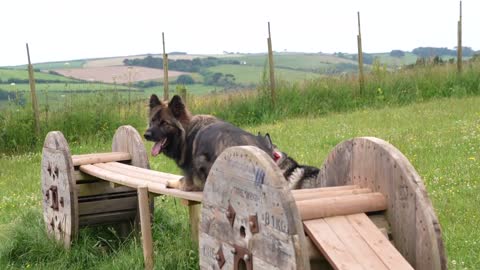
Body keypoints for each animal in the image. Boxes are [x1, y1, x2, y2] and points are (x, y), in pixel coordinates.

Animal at [143, 94, 274, 191]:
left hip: (201, 160)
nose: (146, 135)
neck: (187, 132)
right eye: (152, 121)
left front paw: (172, 182)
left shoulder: (190, 179)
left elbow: (182, 180)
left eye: (164, 123)